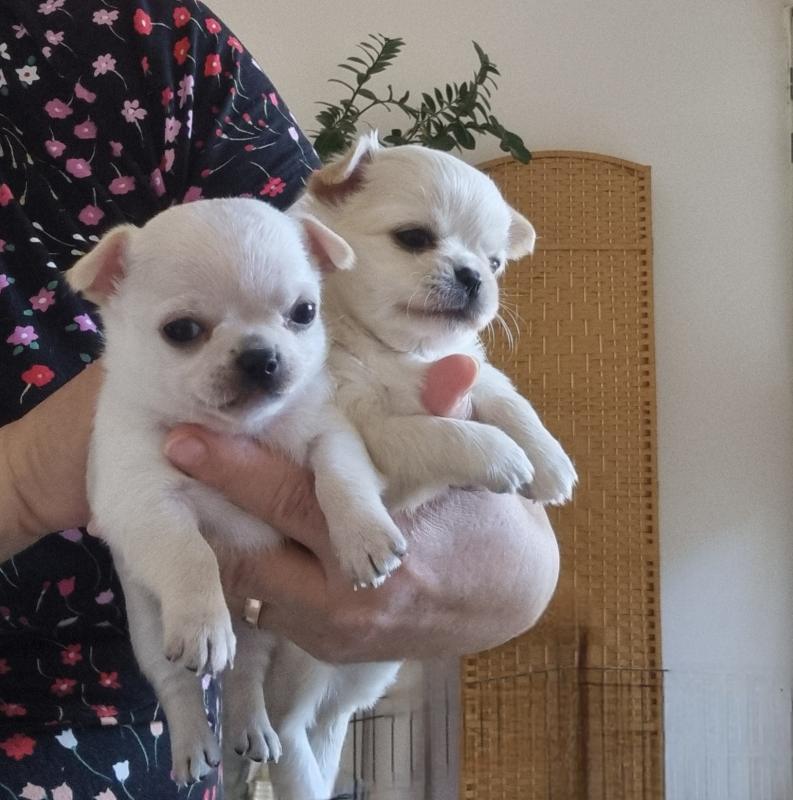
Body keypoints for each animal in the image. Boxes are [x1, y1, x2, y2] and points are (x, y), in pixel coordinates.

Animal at [65, 198, 407, 792]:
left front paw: (365, 535)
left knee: (245, 676)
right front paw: (204, 622)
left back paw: (252, 726)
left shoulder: (328, 433)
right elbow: (190, 552)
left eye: (304, 312)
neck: (241, 432)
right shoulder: (143, 501)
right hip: (151, 630)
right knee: (179, 686)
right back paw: (193, 744)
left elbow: (341, 476)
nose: (259, 355)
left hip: (260, 633)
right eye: (181, 330)